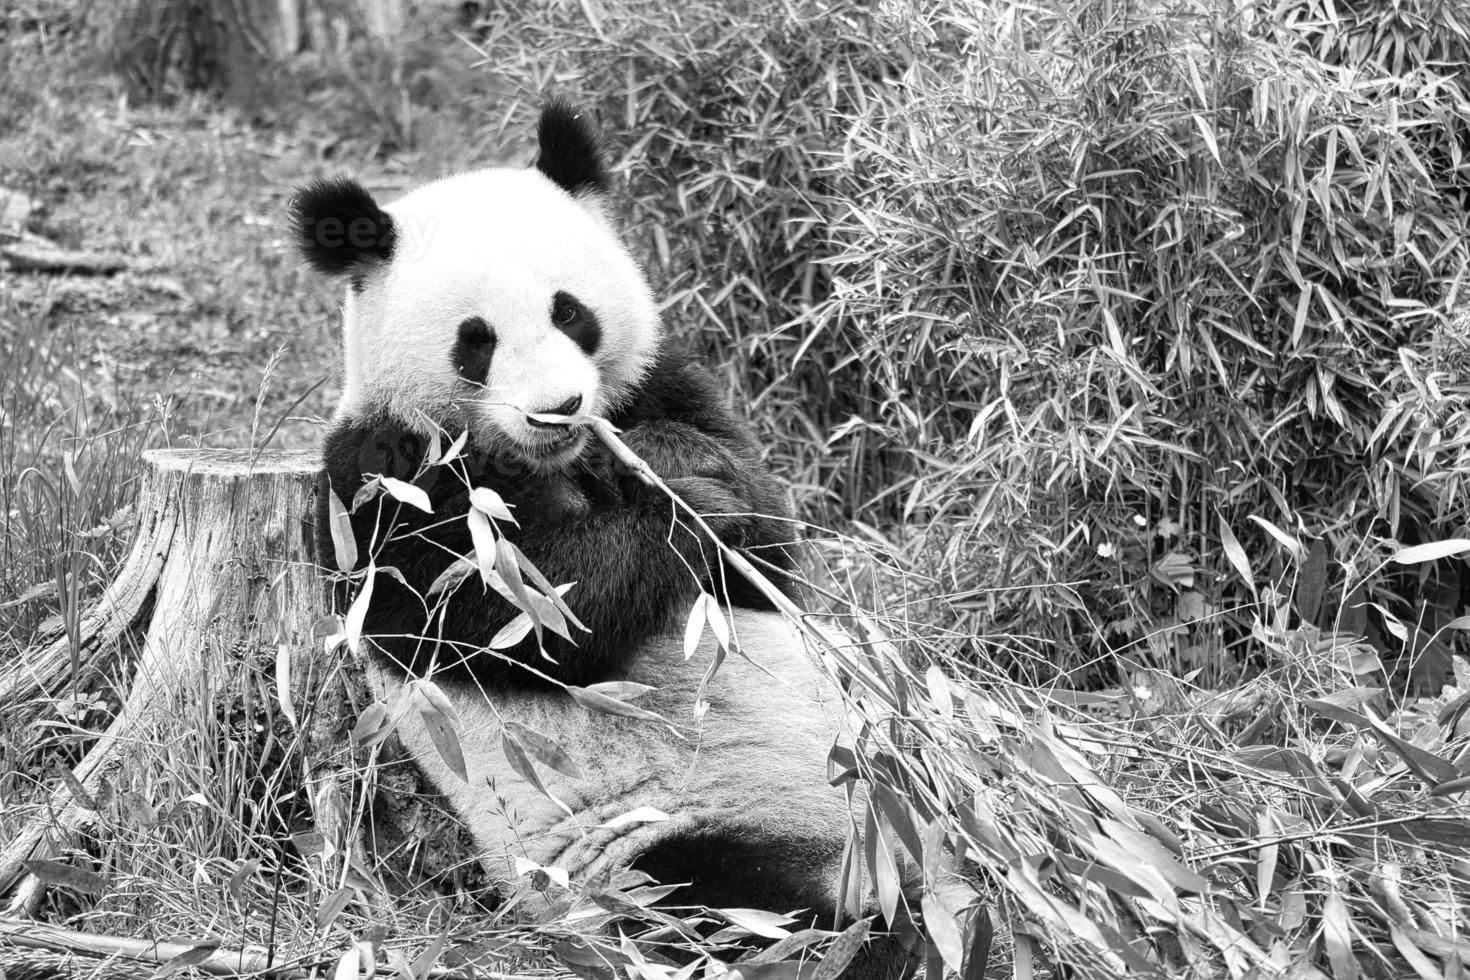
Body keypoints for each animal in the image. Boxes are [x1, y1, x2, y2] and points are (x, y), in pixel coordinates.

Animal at [292, 101, 923, 980]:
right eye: (476, 340)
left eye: (570, 312)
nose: (559, 407)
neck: (546, 462)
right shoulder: (380, 479)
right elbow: (510, 615)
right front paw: (677, 517)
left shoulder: (659, 382)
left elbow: (765, 554)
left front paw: (683, 470)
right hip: (656, 848)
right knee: (737, 910)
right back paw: (874, 938)